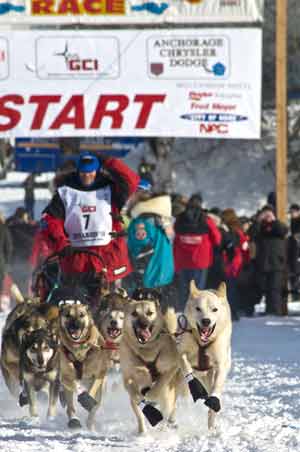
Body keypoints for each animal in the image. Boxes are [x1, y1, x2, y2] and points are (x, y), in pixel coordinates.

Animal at [177, 280, 233, 430]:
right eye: (198, 309)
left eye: (215, 309)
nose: (206, 321)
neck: (203, 343)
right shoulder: (181, 352)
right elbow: (186, 365)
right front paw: (194, 386)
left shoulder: (221, 364)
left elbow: (216, 388)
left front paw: (213, 402)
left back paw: (211, 426)